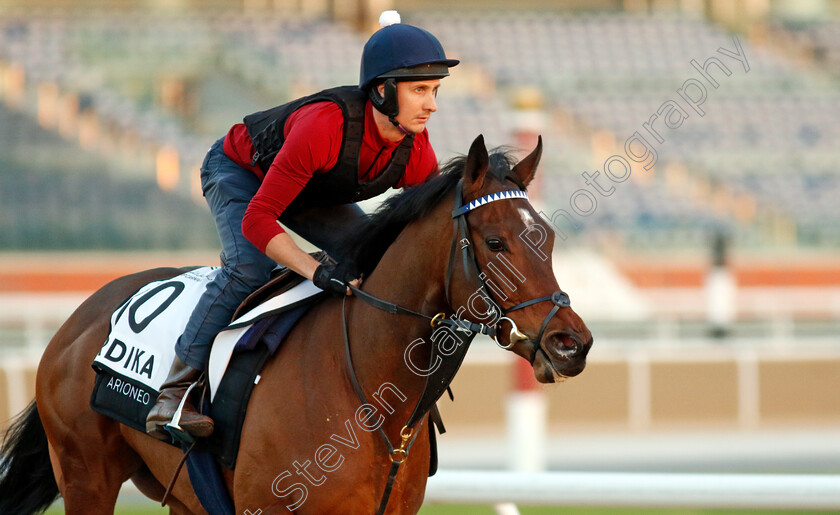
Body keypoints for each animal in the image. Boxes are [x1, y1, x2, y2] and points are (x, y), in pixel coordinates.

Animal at [0, 135, 592, 512]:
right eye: (495, 242)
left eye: (546, 238)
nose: (573, 343)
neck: (368, 390)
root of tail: (79, 318)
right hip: (86, 475)